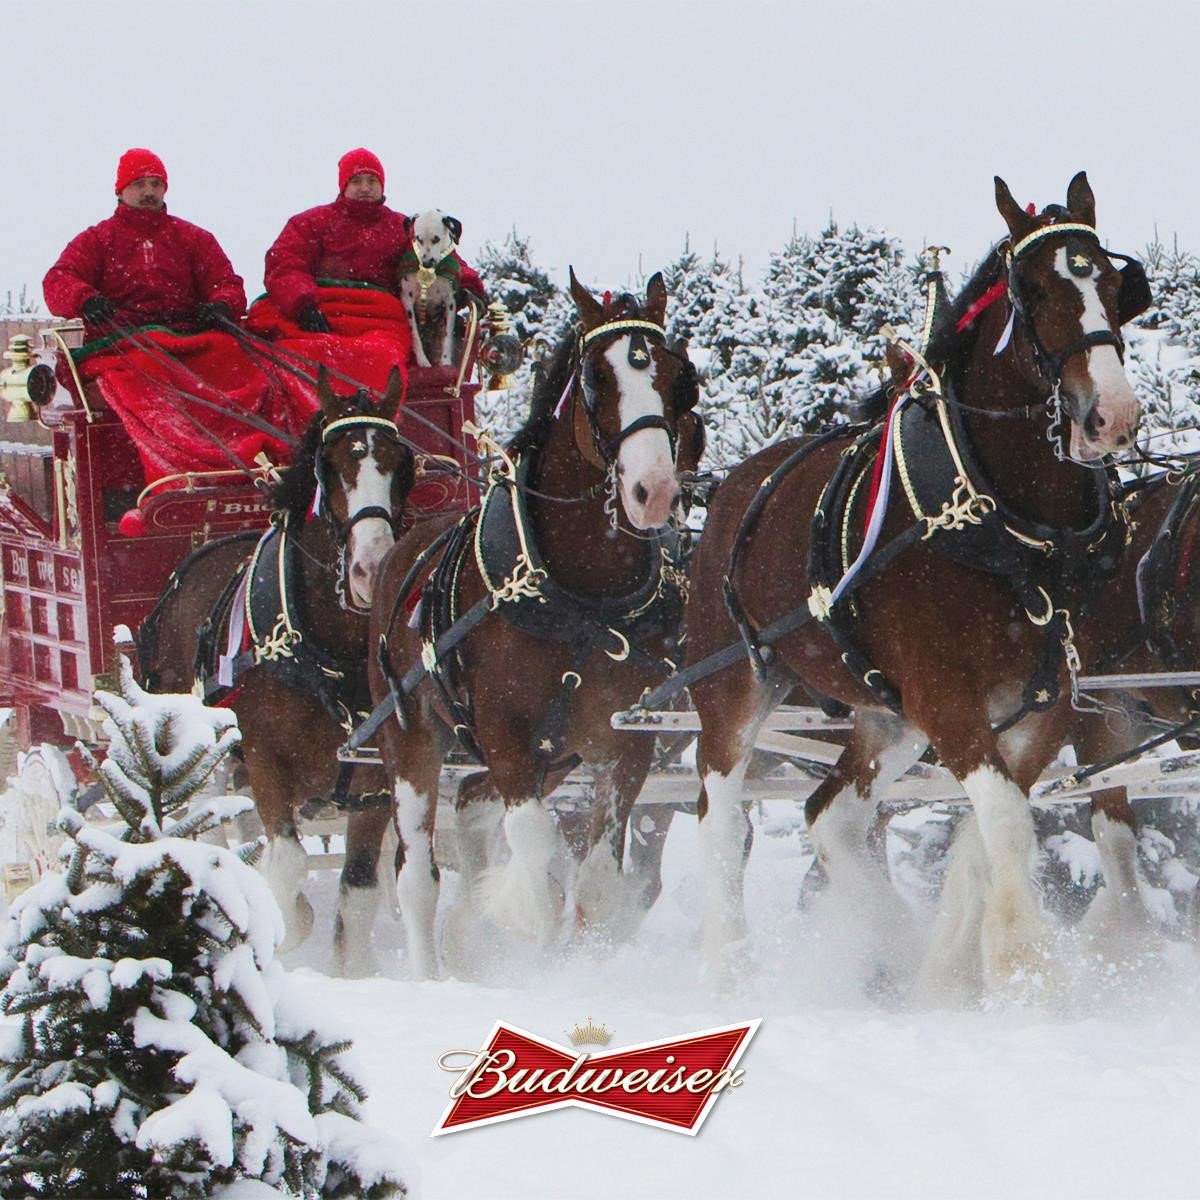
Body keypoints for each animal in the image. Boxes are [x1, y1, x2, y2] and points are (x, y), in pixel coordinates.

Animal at [398, 208, 463, 364]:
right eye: (418, 238)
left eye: (436, 239)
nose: (426, 263)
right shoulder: (407, 299)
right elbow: (414, 332)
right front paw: (422, 361)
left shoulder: (450, 302)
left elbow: (447, 334)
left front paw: (445, 361)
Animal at [691, 171, 1137, 993]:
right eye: (1032, 289)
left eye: (1116, 285)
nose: (1111, 416)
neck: (1003, 526)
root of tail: (734, 487)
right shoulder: (945, 698)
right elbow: (1004, 825)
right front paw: (1023, 971)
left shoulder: (1042, 706)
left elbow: (989, 831)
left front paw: (952, 966)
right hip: (733, 686)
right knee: (723, 819)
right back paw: (729, 964)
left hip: (886, 717)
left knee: (830, 814)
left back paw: (893, 942)